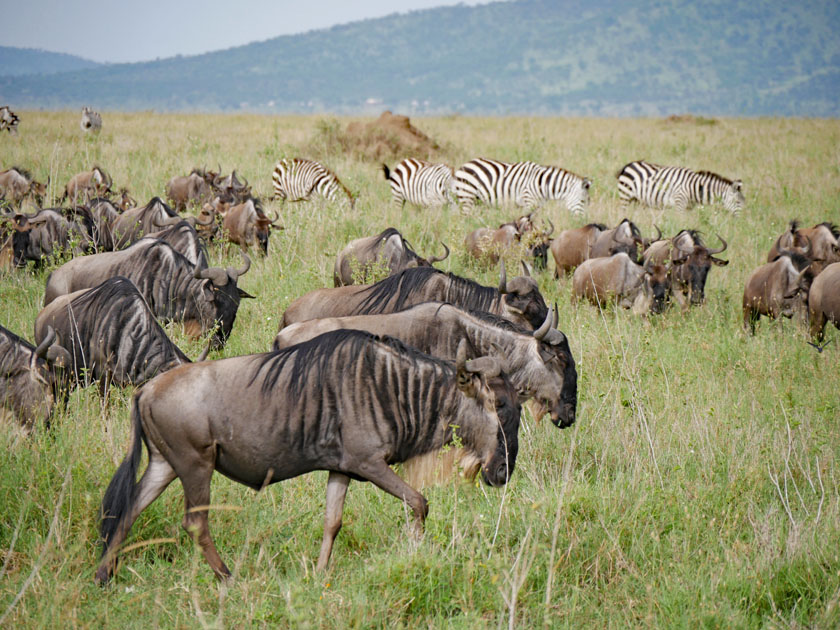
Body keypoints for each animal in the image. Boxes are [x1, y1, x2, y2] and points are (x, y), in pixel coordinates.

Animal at [452, 159, 592, 216]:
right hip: (467, 196)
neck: (543, 185)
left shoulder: (536, 206)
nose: (582, 221)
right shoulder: (528, 202)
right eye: (583, 201)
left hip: (477, 200)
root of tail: (465, 164)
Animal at [612, 160, 744, 215]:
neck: (694, 188)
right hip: (625, 196)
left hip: (637, 201)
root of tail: (629, 165)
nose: (741, 221)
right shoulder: (679, 203)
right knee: (622, 213)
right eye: (737, 202)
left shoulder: (688, 208)